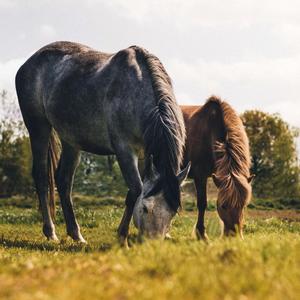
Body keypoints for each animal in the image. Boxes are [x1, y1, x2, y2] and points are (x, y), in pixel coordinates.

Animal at [15, 41, 189, 246]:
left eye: (172, 213)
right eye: (146, 208)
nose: (152, 245)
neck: (136, 90)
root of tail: (29, 63)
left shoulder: (145, 154)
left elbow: (133, 192)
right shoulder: (124, 150)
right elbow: (136, 190)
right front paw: (122, 237)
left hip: (70, 140)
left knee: (64, 181)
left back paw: (76, 234)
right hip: (38, 128)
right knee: (42, 177)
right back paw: (50, 232)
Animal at [180, 96, 253, 239]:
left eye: (243, 206)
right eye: (223, 206)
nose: (234, 236)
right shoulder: (200, 175)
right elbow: (202, 203)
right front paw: (201, 235)